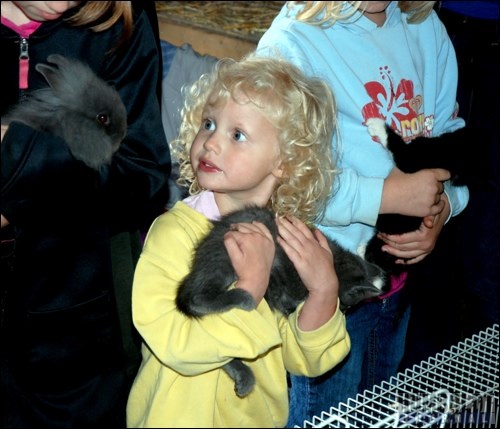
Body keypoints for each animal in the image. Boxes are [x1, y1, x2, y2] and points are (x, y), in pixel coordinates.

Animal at [176, 206, 386, 396]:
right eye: (346, 305)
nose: (343, 311)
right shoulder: (281, 265)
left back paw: (243, 376)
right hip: (223, 259)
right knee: (196, 298)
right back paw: (243, 296)